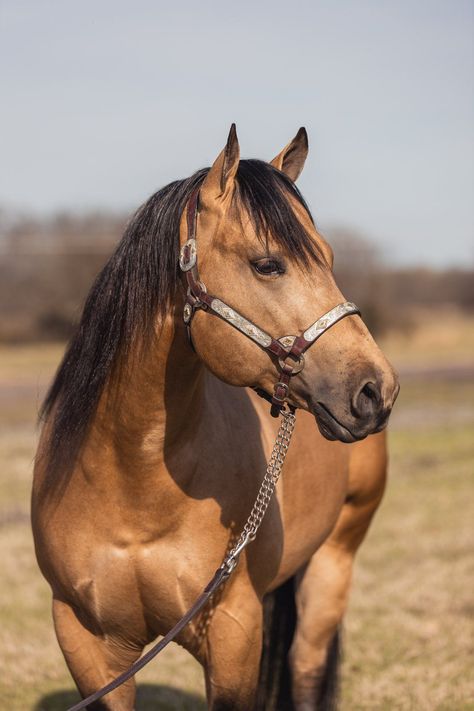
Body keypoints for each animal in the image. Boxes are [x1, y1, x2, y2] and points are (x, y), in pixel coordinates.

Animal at [31, 125, 398, 708]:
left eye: (329, 256)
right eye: (267, 264)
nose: (375, 390)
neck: (132, 484)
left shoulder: (232, 631)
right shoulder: (87, 645)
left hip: (334, 559)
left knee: (306, 667)